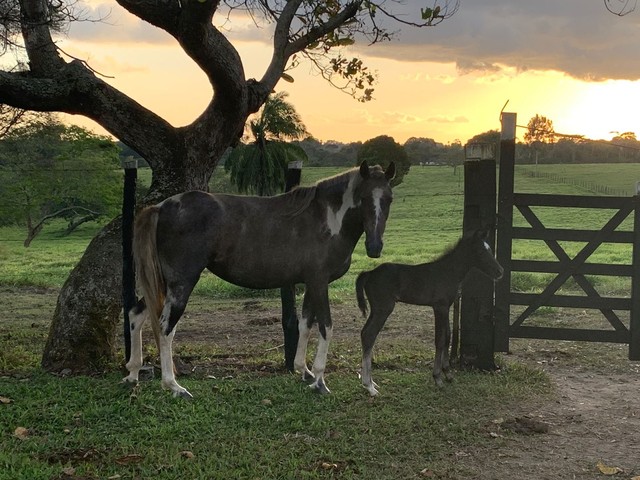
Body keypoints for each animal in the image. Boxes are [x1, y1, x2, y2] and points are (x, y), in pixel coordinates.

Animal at [125, 161, 396, 398]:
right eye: (363, 197)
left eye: (388, 199)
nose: (374, 247)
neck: (327, 219)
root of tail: (162, 207)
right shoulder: (320, 282)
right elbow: (326, 327)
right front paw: (320, 381)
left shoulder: (311, 283)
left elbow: (305, 324)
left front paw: (304, 371)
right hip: (181, 283)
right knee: (165, 328)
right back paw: (174, 386)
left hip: (163, 283)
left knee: (136, 314)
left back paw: (133, 373)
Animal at [356, 229, 500, 398]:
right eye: (480, 251)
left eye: (489, 249)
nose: (500, 272)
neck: (448, 272)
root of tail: (369, 273)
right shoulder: (439, 307)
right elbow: (439, 340)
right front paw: (437, 378)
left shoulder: (446, 308)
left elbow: (448, 337)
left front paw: (448, 374)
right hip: (383, 309)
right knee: (370, 334)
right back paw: (369, 387)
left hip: (376, 309)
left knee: (365, 333)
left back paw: (371, 383)